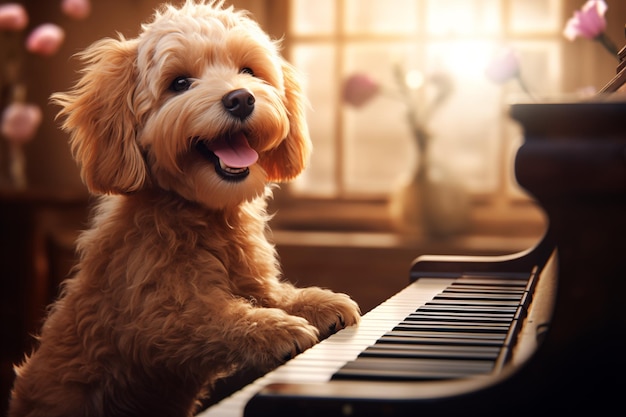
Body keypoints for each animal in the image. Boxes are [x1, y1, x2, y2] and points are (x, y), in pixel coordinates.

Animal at [8, 1, 360, 414]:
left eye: (248, 71)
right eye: (179, 83)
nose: (241, 98)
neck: (206, 216)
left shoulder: (252, 281)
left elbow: (274, 294)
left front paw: (318, 302)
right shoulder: (153, 318)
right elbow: (210, 317)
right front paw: (276, 328)